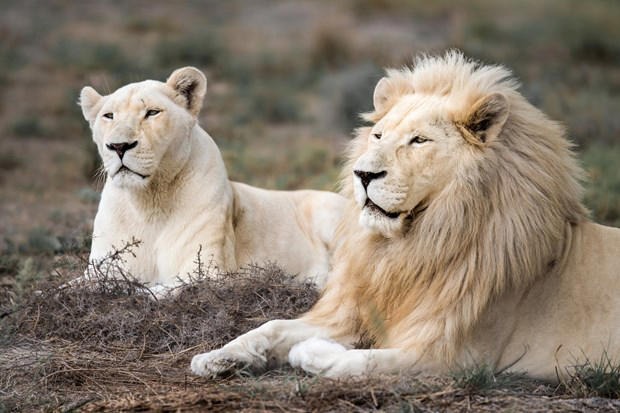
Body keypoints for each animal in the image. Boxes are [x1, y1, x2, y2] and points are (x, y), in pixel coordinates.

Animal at [78, 67, 344, 292]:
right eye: (108, 116)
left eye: (152, 112)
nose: (119, 146)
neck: (148, 202)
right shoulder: (99, 270)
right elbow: (71, 289)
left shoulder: (209, 272)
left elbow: (153, 292)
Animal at [191, 52, 620, 384]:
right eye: (378, 136)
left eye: (419, 141)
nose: (363, 174)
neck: (408, 249)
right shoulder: (354, 312)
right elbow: (273, 325)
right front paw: (216, 356)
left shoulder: (452, 356)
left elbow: (361, 361)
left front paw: (310, 352)